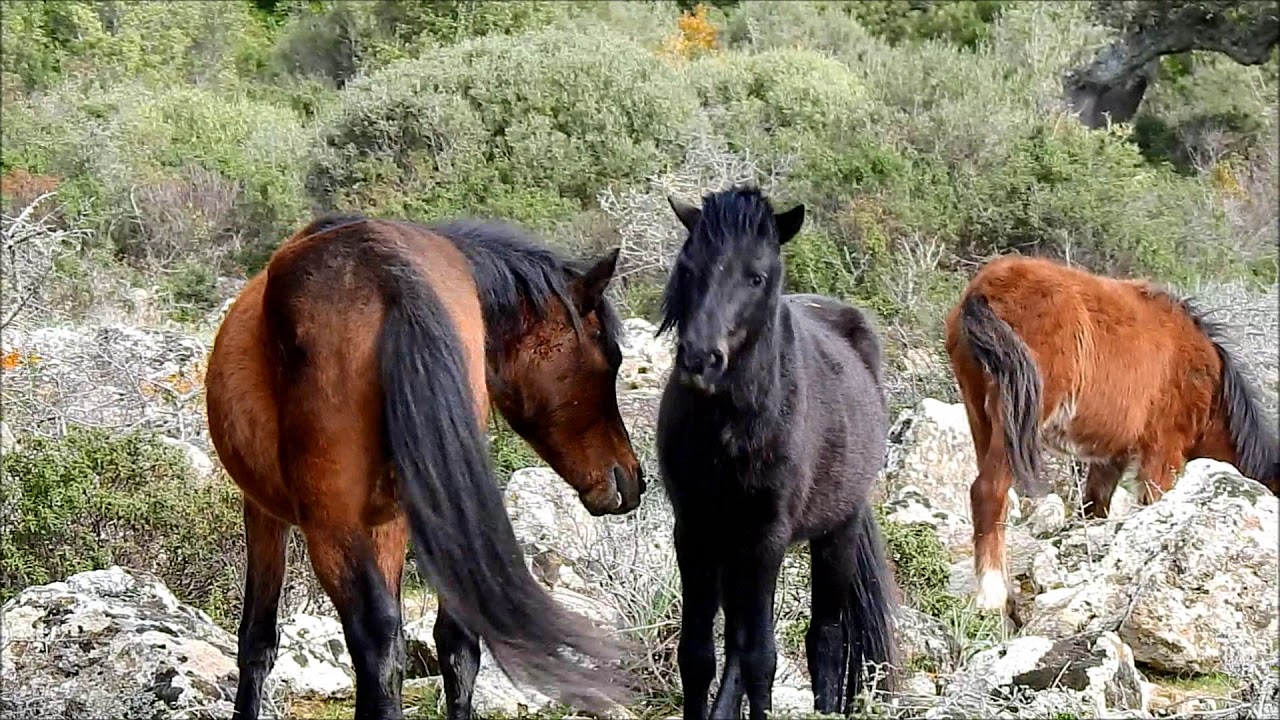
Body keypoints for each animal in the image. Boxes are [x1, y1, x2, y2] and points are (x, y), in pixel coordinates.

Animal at [204, 214, 647, 720]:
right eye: (610, 356)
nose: (631, 479)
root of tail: (387, 271)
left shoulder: (270, 512)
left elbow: (258, 640)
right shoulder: (381, 519)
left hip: (331, 528)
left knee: (376, 643)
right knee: (451, 643)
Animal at [654, 186, 899, 720]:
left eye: (757, 276)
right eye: (689, 267)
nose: (700, 359)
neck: (731, 427)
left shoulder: (767, 539)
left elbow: (761, 659)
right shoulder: (694, 531)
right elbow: (698, 654)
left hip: (836, 533)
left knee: (824, 639)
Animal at [944, 254, 1280, 613]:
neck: (1210, 386)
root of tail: (984, 290)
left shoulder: (1111, 456)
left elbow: (1094, 508)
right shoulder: (1164, 452)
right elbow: (1153, 505)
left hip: (978, 410)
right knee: (989, 491)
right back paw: (992, 596)